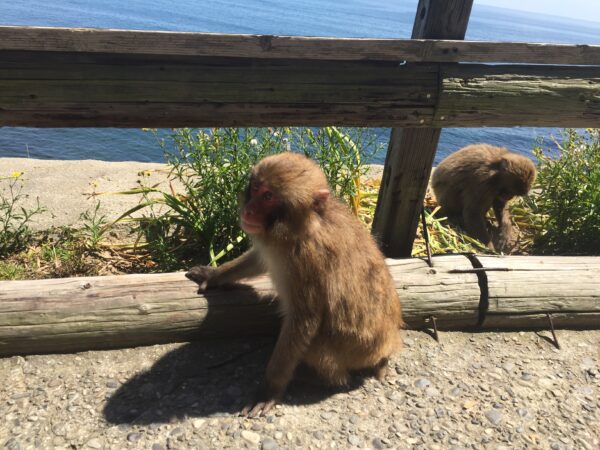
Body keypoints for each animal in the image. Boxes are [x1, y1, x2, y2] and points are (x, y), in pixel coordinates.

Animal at [188, 152, 404, 418]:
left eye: (268, 197)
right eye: (256, 188)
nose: (249, 210)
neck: (299, 228)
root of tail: (388, 343)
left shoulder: (306, 262)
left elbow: (304, 320)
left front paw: (270, 389)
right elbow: (260, 260)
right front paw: (215, 274)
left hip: (355, 351)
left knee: (315, 346)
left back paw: (318, 379)